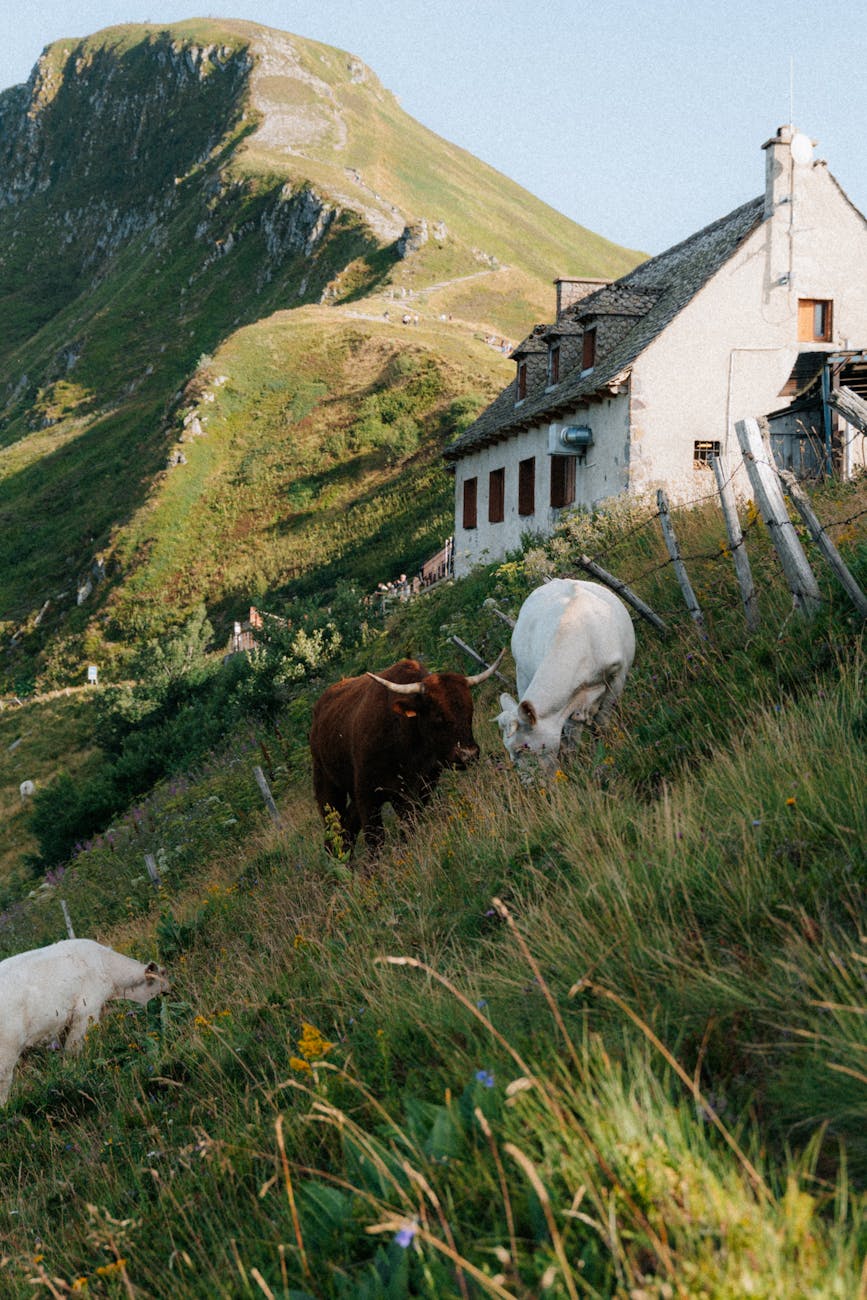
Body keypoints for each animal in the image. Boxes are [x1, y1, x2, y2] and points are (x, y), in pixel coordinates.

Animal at [310, 652, 503, 855]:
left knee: (348, 827)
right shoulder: (367, 795)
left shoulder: (418, 790)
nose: (468, 754)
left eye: (470, 710)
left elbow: (408, 828)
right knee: (334, 829)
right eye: (437, 715)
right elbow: (375, 840)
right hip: (327, 784)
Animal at [496, 579, 635, 774]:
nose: (528, 780)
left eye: (522, 748)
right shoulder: (569, 702)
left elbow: (602, 720)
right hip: (522, 677)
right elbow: (572, 737)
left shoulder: (617, 676)